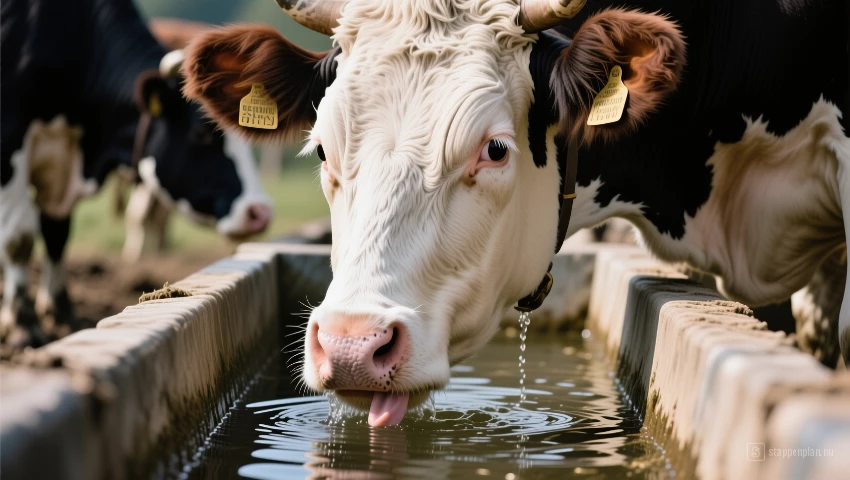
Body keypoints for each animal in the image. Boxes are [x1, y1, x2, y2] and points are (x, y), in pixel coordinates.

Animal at [0, 0, 274, 343]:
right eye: (201, 132)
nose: (260, 212)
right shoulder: (10, 140)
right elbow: (19, 239)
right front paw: (23, 325)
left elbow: (57, 234)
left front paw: (61, 314)